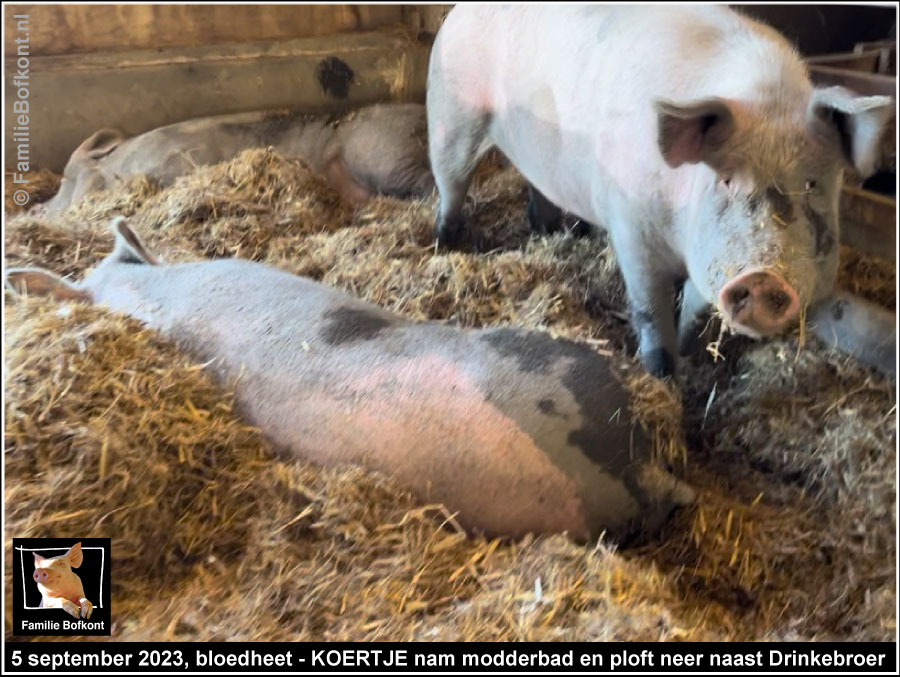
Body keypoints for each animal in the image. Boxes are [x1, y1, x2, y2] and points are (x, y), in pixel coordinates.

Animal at [428, 3, 892, 374]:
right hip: (451, 115)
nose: (763, 276)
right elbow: (650, 309)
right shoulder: (632, 229)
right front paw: (661, 373)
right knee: (451, 182)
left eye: (811, 183)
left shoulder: (706, 254)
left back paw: (548, 228)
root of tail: (457, 12)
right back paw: (449, 243)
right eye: (727, 179)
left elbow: (695, 312)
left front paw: (691, 355)